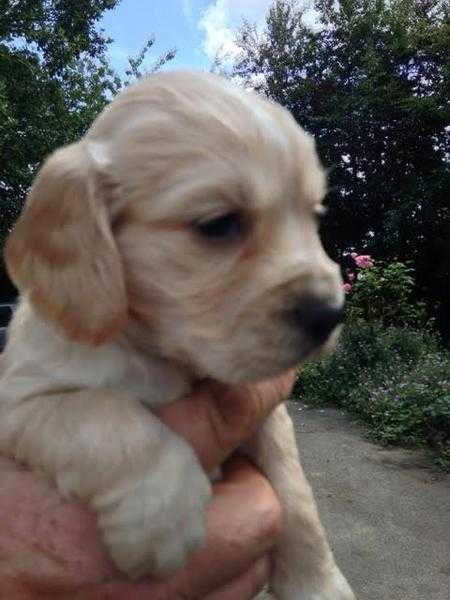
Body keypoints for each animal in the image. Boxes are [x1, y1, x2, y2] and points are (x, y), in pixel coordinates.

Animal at [0, 71, 356, 600]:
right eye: (219, 223)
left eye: (314, 218)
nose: (330, 313)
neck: (160, 354)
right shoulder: (19, 399)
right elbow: (102, 413)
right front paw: (162, 513)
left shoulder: (268, 417)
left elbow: (294, 491)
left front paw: (317, 582)